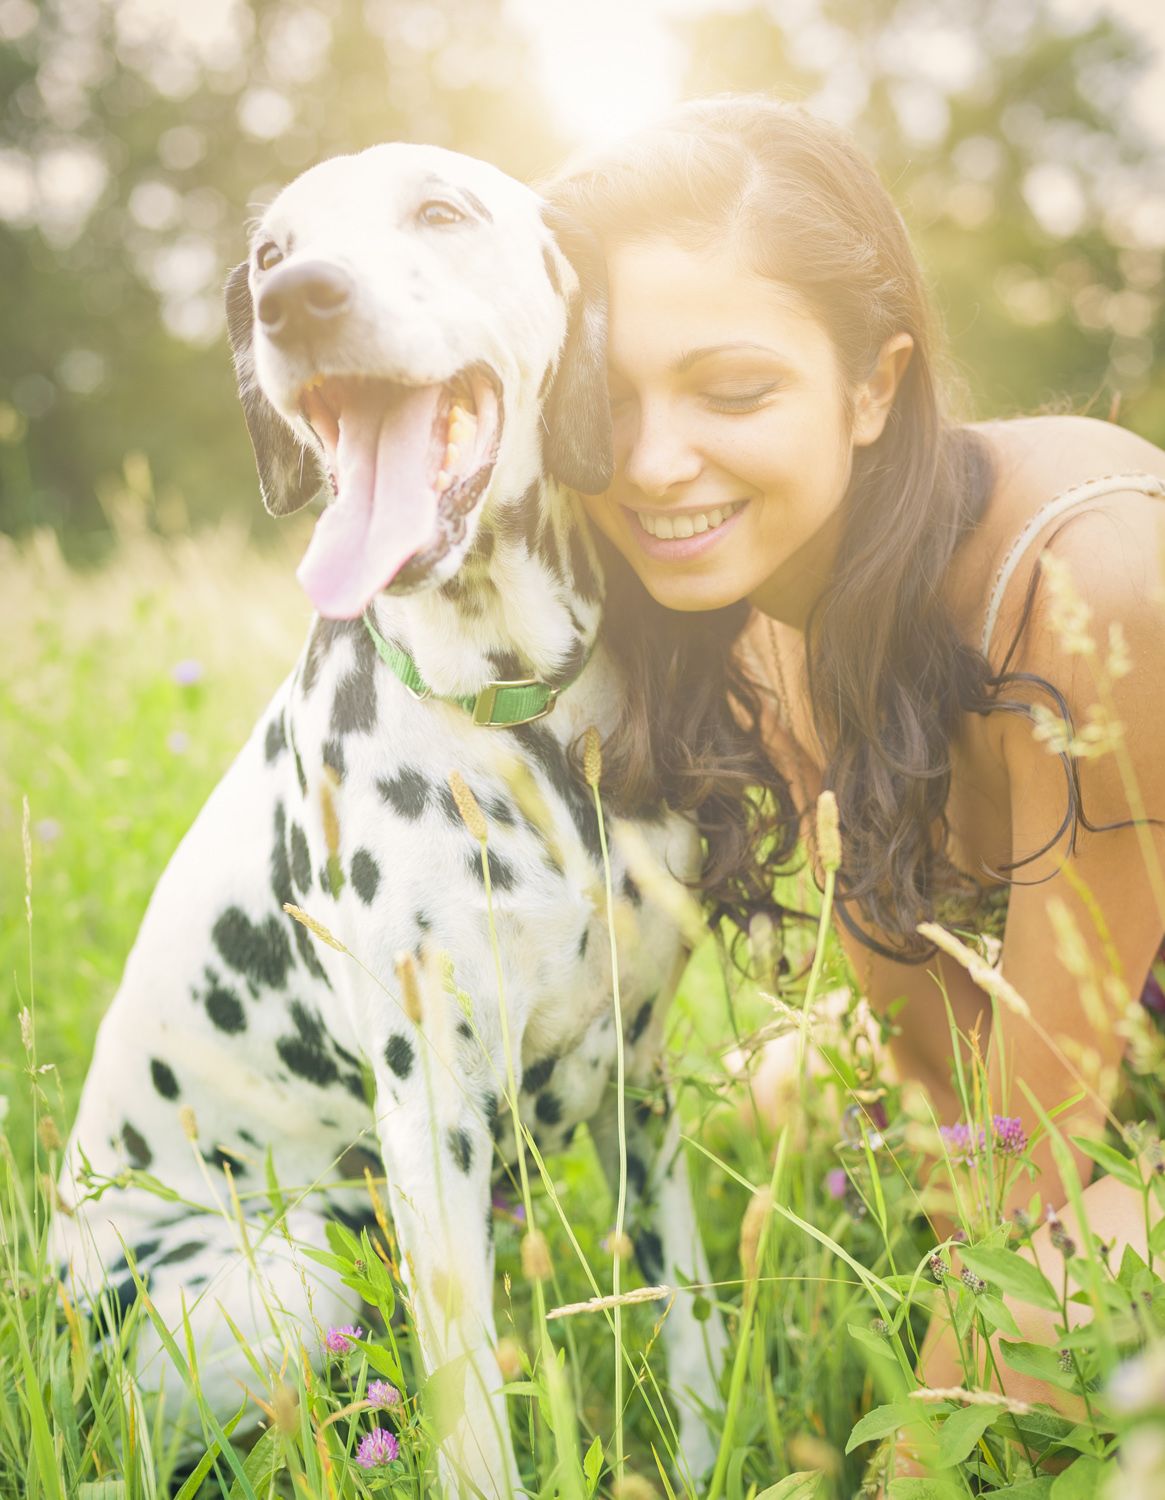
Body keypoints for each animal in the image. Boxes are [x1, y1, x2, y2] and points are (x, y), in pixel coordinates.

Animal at [56, 143, 725, 1500]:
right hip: (294, 1273)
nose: (293, 299)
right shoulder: (433, 1122)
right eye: (269, 251)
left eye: (438, 211)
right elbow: (471, 1417)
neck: (516, 718)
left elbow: (686, 1308)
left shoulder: (641, 1082)